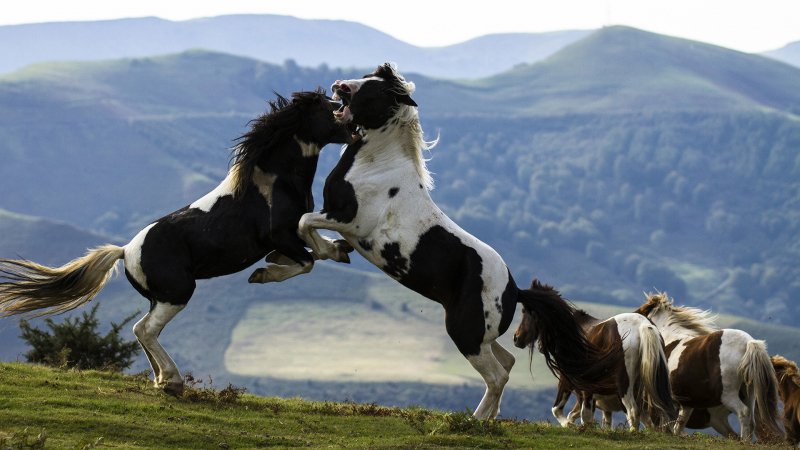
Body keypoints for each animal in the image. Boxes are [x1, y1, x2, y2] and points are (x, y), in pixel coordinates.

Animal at [0, 90, 350, 394]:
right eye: (332, 108)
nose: (354, 130)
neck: (273, 181)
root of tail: (126, 251)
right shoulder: (278, 234)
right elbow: (308, 259)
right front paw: (265, 273)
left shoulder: (292, 232)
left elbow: (316, 246)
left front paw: (335, 250)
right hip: (178, 292)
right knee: (145, 329)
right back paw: (172, 380)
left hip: (161, 298)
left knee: (141, 329)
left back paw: (161, 379)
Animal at [262, 64, 620, 422]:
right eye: (365, 77)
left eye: (375, 90)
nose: (340, 86)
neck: (377, 168)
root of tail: (514, 290)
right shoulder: (340, 220)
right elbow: (308, 237)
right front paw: (287, 264)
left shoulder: (351, 221)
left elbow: (305, 223)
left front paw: (321, 255)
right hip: (482, 336)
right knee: (507, 363)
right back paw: (488, 418)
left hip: (465, 334)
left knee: (497, 375)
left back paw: (475, 422)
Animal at [516, 304, 680, 430]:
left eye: (525, 312)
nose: (516, 338)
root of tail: (643, 325)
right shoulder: (587, 392)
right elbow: (583, 415)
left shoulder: (568, 381)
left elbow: (559, 410)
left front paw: (570, 426)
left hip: (625, 386)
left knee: (633, 412)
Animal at [636, 292, 780, 442]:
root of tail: (748, 343)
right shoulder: (687, 403)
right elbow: (678, 426)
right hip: (749, 393)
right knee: (751, 419)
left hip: (727, 395)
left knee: (743, 413)